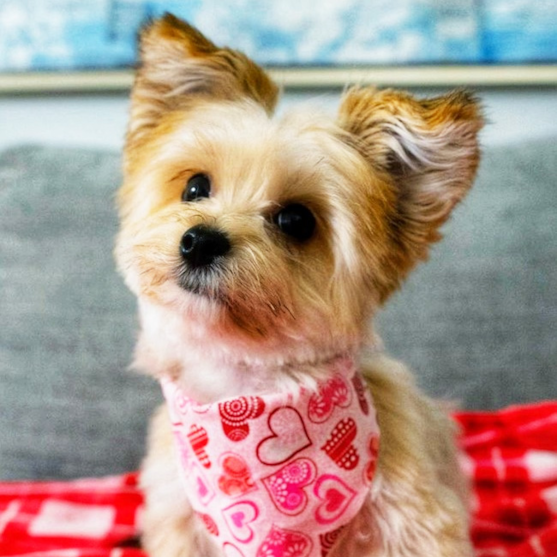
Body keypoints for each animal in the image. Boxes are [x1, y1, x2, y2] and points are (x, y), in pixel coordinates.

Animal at [116, 13, 482, 556]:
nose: (200, 241)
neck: (245, 391)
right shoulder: (177, 519)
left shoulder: (417, 527)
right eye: (195, 186)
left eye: (295, 220)